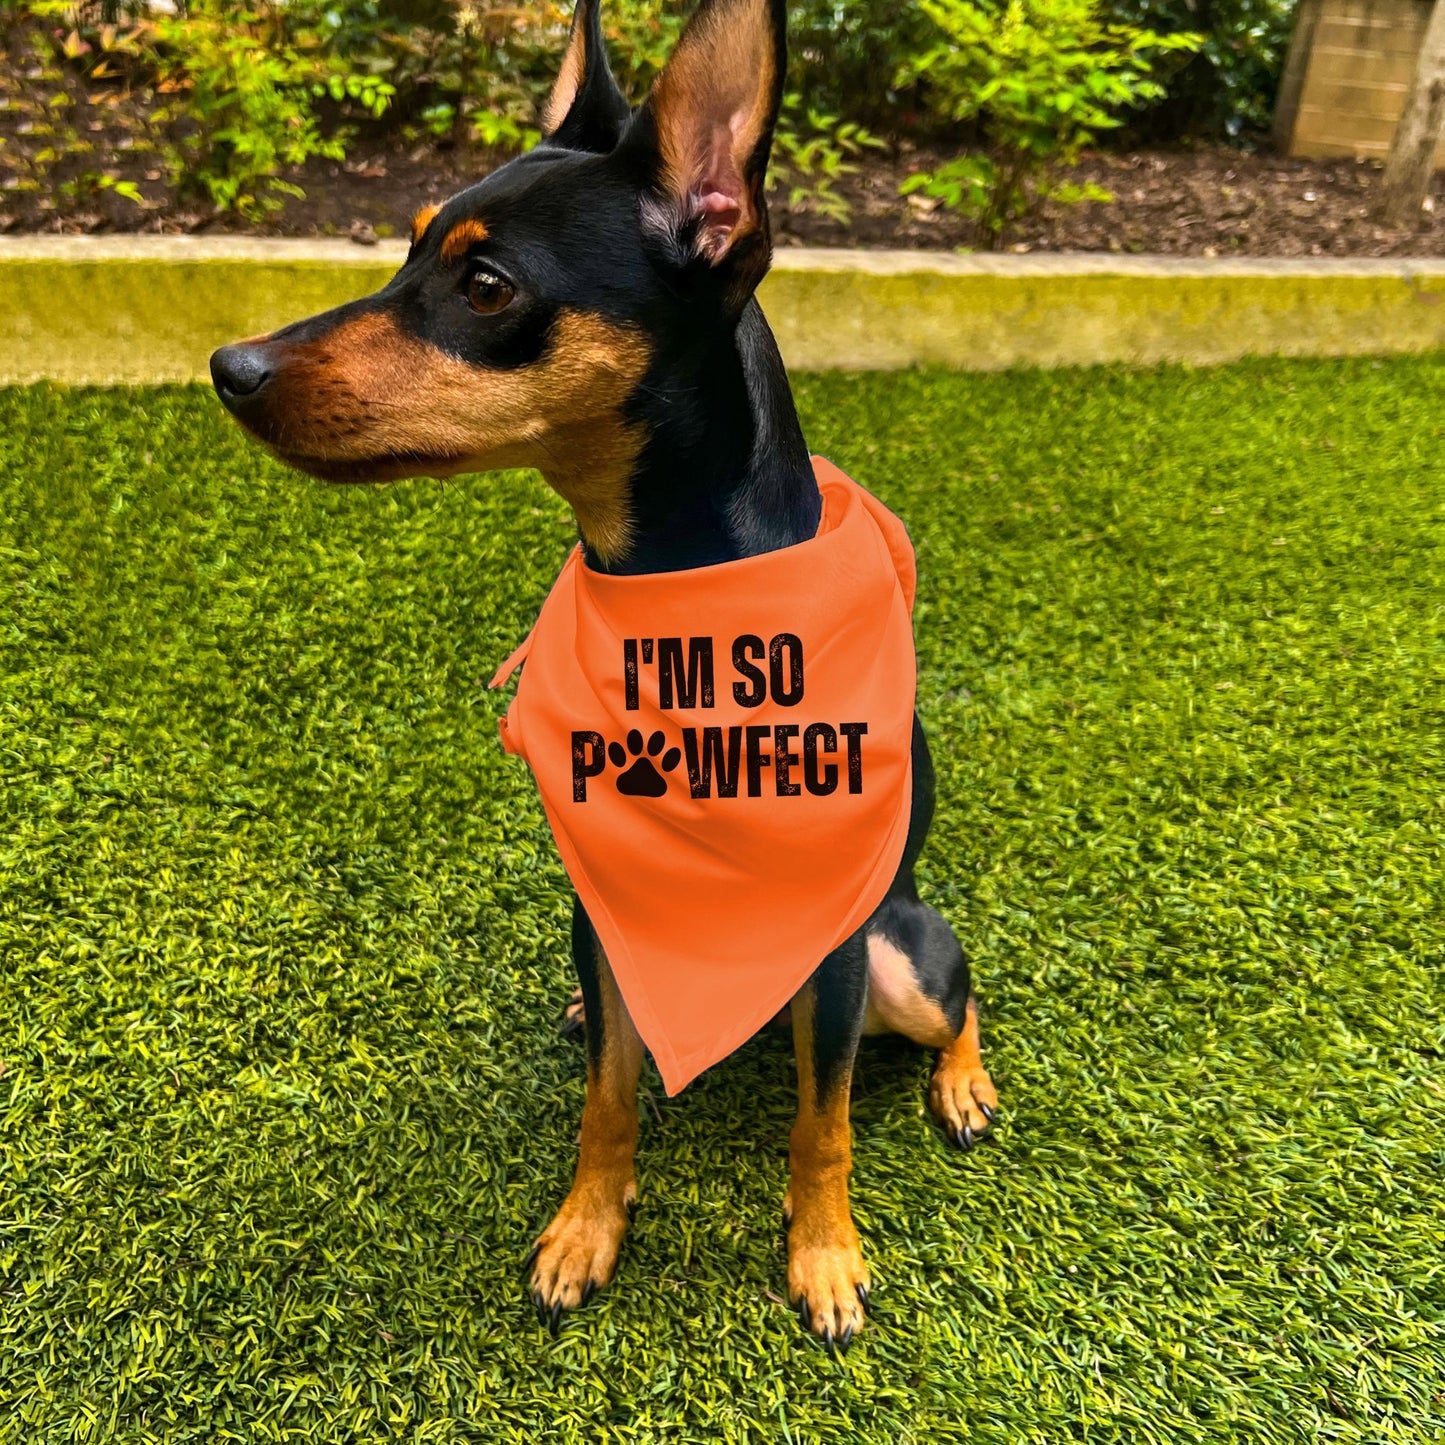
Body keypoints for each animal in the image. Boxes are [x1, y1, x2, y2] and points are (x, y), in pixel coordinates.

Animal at [209, 0, 999, 1352]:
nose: (230, 366)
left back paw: (962, 1084)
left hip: (900, 953)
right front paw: (586, 1227)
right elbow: (610, 1097)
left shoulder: (834, 955)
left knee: (961, 1000)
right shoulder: (602, 895)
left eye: (485, 286)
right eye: (405, 251)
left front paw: (824, 1256)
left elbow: (823, 1123)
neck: (671, 605)